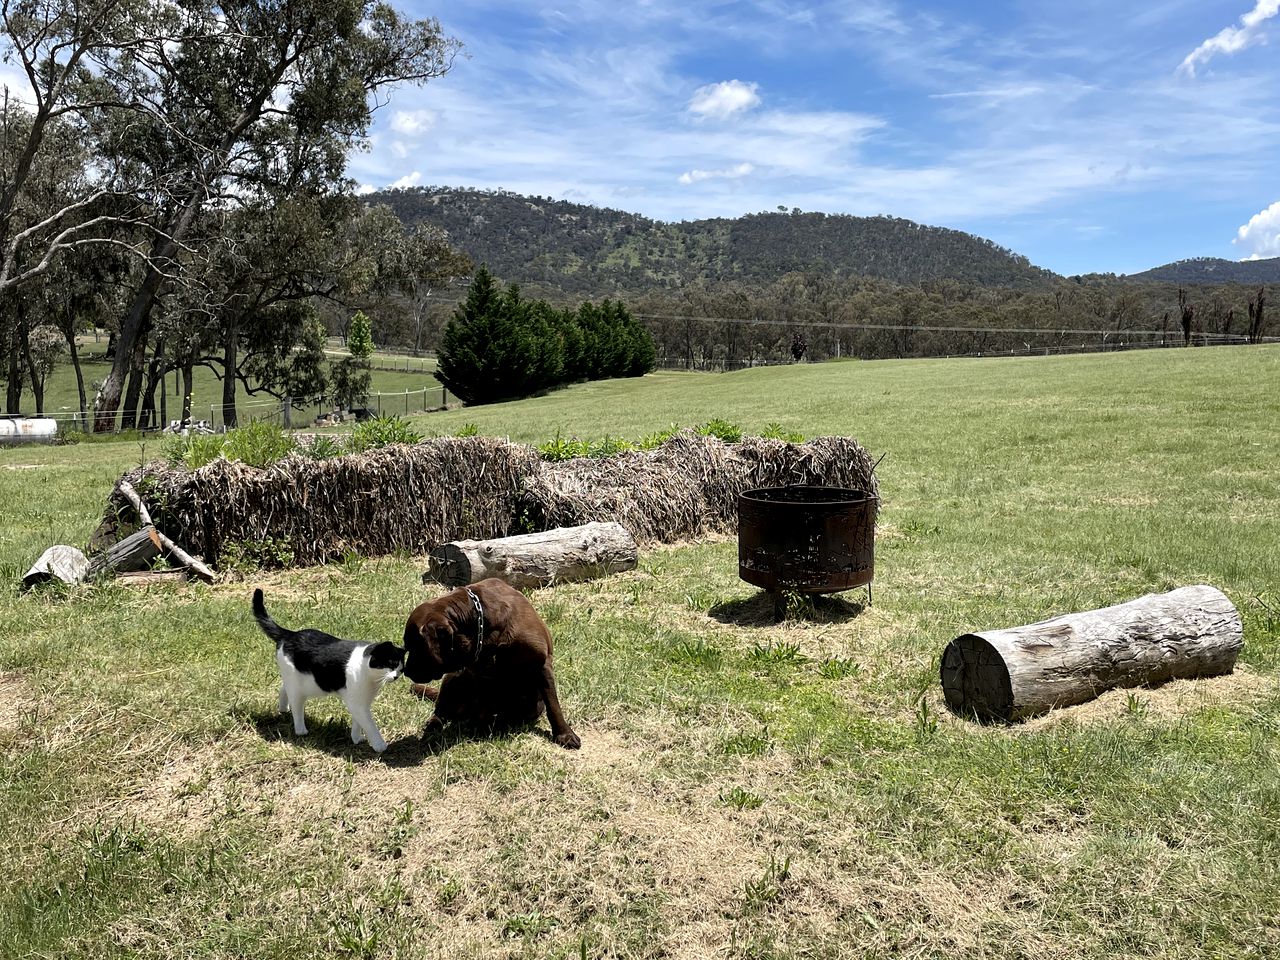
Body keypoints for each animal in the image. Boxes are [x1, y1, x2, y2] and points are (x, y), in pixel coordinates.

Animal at [250, 591, 404, 757]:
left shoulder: (361, 701)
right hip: (299, 688)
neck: (371, 677)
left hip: (304, 682)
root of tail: (290, 635)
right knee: (296, 705)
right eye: (391, 664)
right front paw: (379, 745)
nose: (396, 676)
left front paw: (356, 738)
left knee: (283, 688)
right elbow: (369, 724)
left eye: (401, 669)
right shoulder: (357, 703)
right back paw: (301, 730)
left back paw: (283, 709)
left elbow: (358, 722)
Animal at [401, 578, 583, 752]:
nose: (406, 671)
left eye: (414, 647)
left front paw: (564, 735)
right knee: (442, 709)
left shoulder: (542, 664)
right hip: (454, 677)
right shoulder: (480, 674)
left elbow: (553, 704)